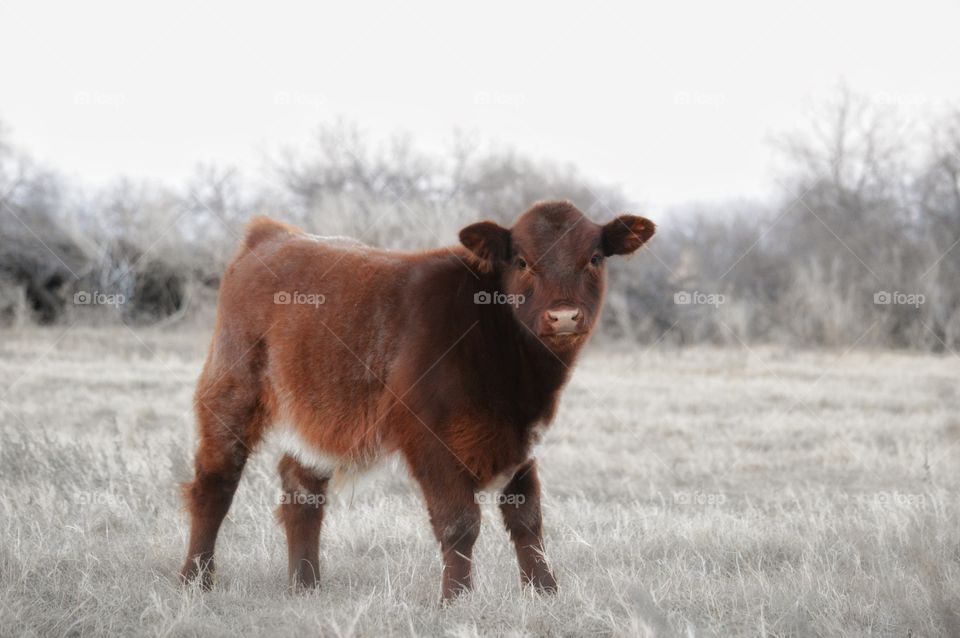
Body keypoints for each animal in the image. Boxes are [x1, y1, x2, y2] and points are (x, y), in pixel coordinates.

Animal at [179, 202, 656, 604]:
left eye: (594, 258)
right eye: (522, 261)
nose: (564, 316)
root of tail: (274, 234)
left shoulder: (522, 439)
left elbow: (528, 519)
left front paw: (545, 593)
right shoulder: (429, 438)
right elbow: (459, 522)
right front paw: (457, 601)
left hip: (318, 413)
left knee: (302, 489)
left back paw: (306, 585)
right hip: (231, 391)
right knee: (214, 484)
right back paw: (195, 580)